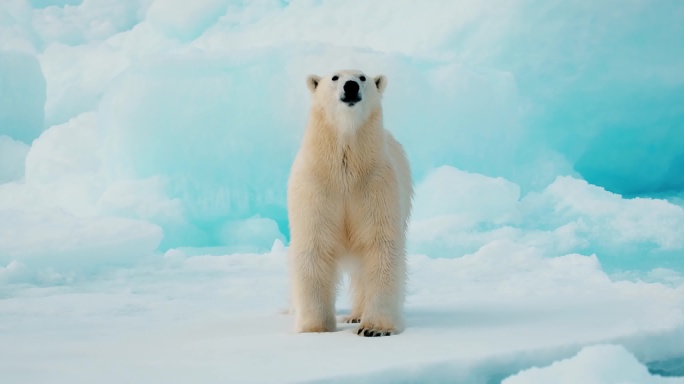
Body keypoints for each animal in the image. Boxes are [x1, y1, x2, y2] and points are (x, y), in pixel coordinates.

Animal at [288, 68, 414, 336]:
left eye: (363, 77)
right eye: (335, 77)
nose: (351, 86)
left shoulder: (375, 184)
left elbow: (380, 245)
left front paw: (375, 328)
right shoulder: (317, 185)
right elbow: (314, 246)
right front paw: (315, 327)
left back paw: (357, 314)